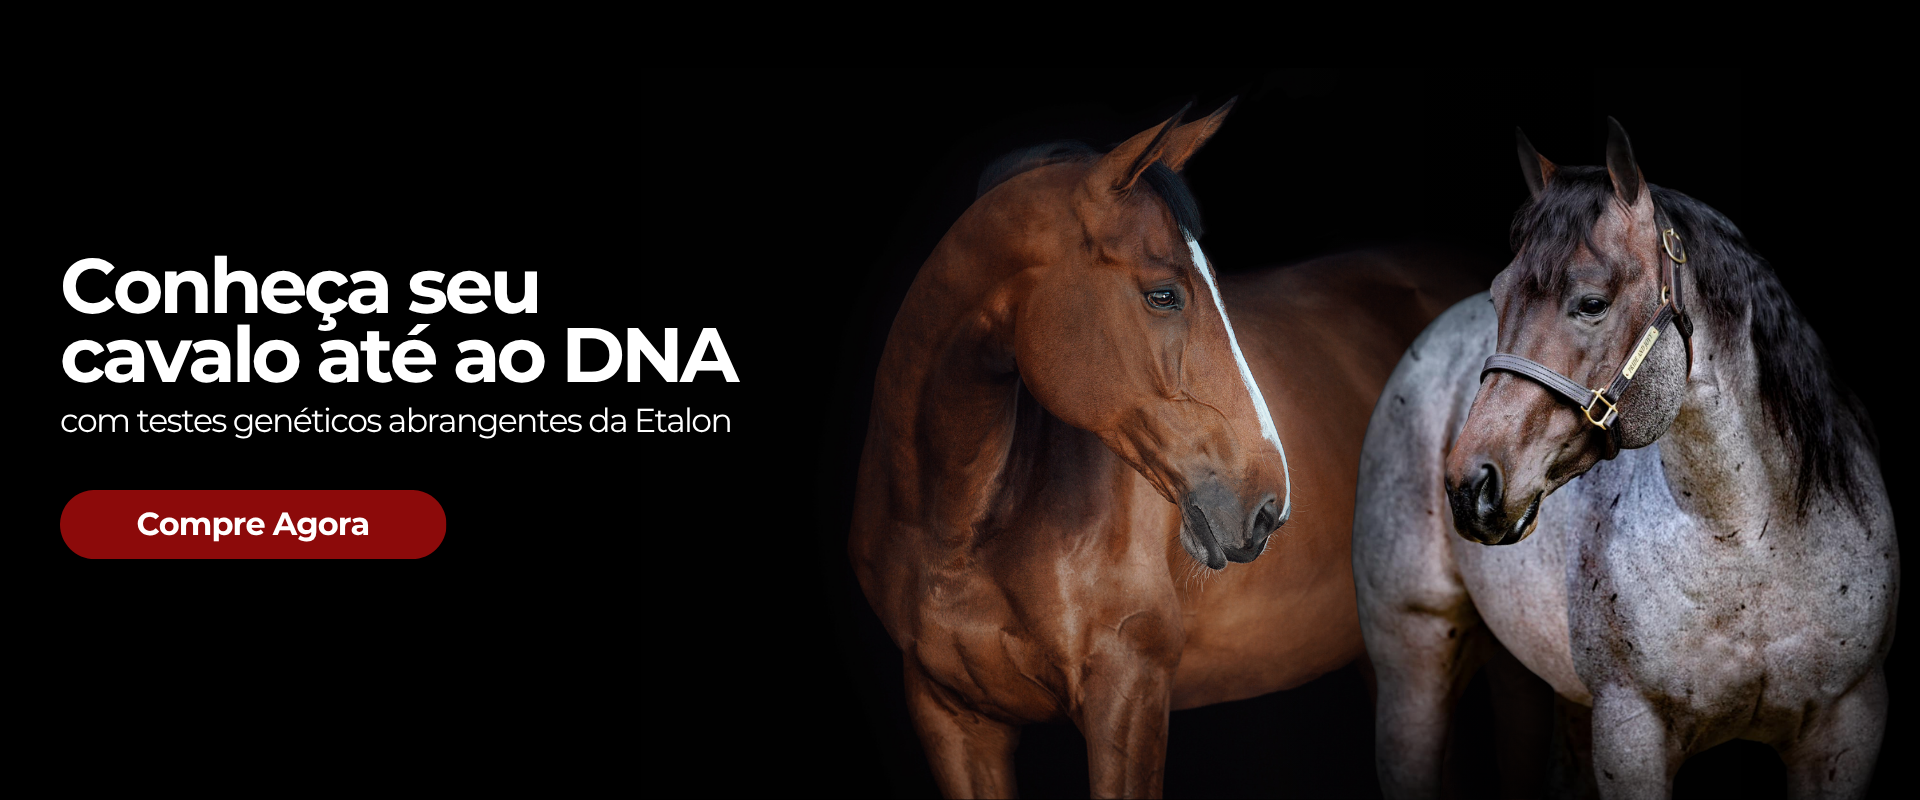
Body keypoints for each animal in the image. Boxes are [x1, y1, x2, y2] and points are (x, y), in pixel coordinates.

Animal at [1354, 118, 1897, 799]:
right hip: (1415, 660)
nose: (1468, 486)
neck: (1750, 541)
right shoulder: (1631, 732)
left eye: (1591, 302)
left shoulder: (1847, 728)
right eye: (1499, 297)